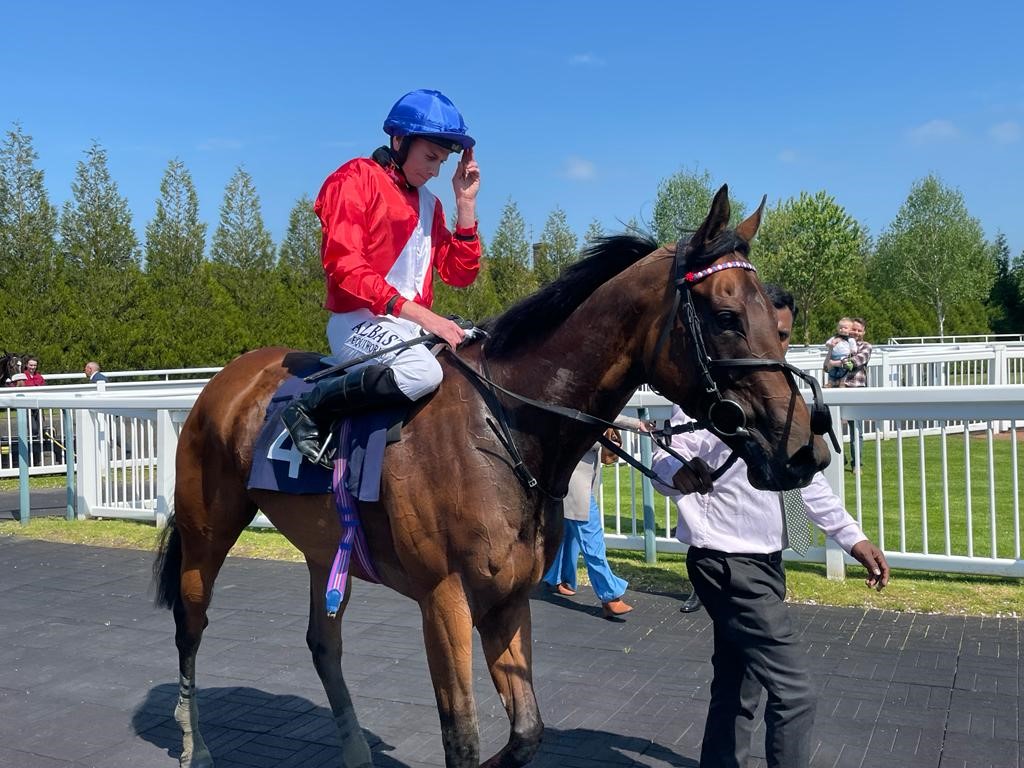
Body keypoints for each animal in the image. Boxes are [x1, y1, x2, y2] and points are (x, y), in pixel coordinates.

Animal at [157, 188, 831, 768]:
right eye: (726, 316)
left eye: (777, 321)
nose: (804, 448)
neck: (505, 427)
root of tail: (227, 378)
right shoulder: (444, 597)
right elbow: (462, 735)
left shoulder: (508, 594)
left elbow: (528, 730)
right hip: (206, 531)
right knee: (190, 626)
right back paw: (196, 746)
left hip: (327, 547)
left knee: (323, 644)